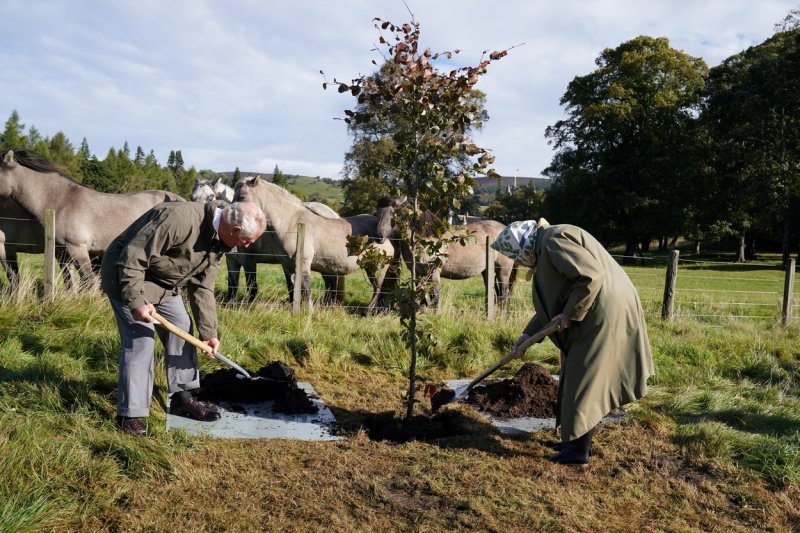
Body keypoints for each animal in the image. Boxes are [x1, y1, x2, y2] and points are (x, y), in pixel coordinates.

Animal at [231, 176, 394, 308]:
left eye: (242, 196)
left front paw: (309, 312)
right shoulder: (288, 266)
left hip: (377, 267)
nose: (233, 222)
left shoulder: (303, 263)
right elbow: (293, 290)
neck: (291, 222)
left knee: (378, 289)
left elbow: (306, 290)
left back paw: (368, 311)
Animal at [376, 195, 520, 312]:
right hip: (487, 271)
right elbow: (423, 297)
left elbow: (435, 298)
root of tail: (505, 229)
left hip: (503, 271)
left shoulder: (434, 273)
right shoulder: (418, 273)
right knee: (493, 295)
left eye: (394, 213)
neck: (426, 239)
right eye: (378, 212)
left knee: (504, 295)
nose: (379, 236)